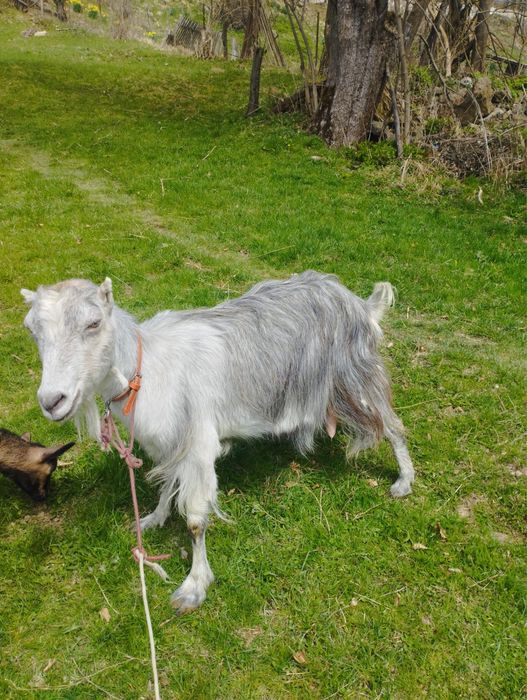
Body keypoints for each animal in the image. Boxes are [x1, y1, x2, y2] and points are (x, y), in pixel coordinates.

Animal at [21, 271, 414, 613]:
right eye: (32, 330)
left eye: (93, 323)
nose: (52, 400)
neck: (146, 371)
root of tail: (361, 304)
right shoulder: (170, 444)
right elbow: (166, 485)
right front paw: (152, 519)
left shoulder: (197, 445)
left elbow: (196, 520)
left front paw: (194, 586)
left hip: (356, 379)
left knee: (393, 425)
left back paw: (403, 481)